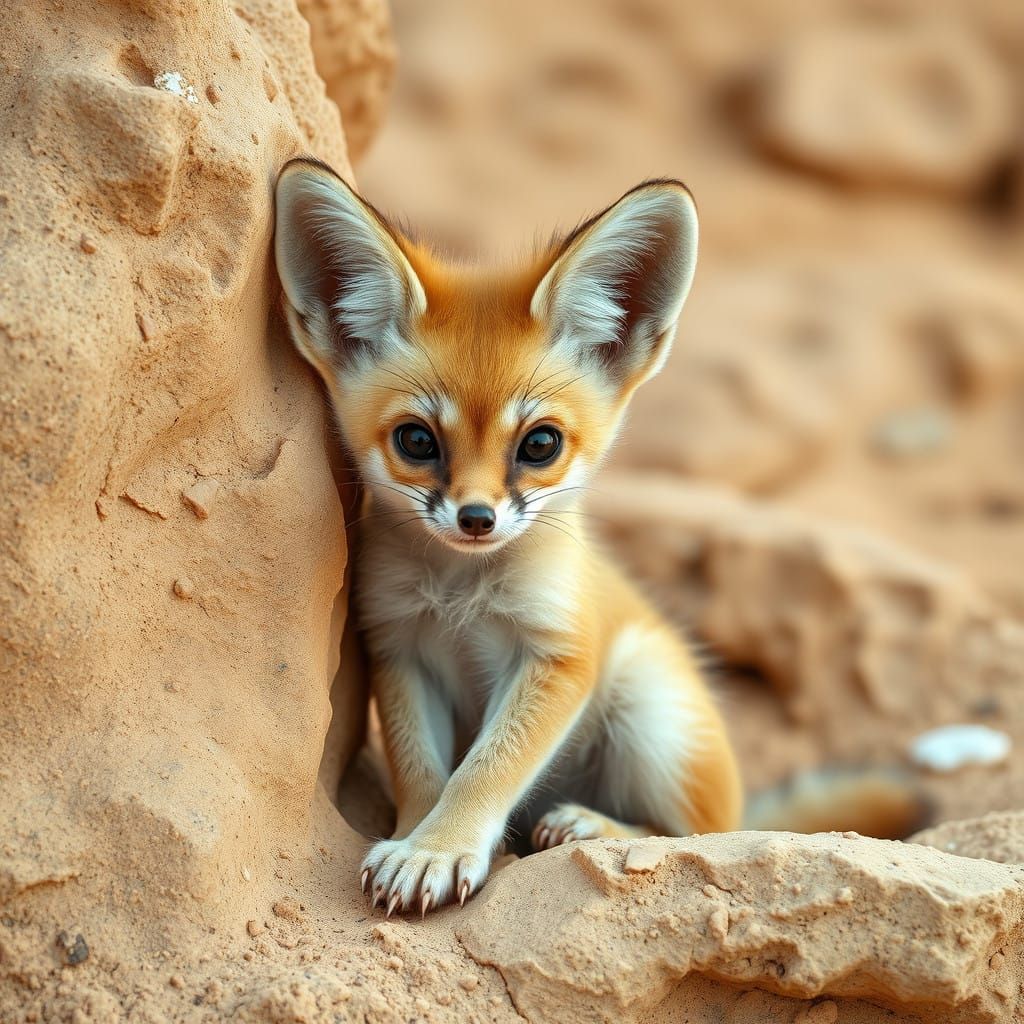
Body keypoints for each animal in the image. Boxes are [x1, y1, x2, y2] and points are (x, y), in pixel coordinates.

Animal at [273, 158, 927, 916]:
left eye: (540, 444)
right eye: (416, 440)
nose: (476, 519)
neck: (464, 595)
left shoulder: (560, 655)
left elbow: (485, 770)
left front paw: (441, 847)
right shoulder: (402, 649)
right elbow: (423, 772)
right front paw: (416, 840)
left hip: (648, 706)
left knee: (698, 834)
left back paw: (593, 823)